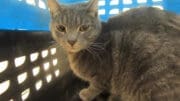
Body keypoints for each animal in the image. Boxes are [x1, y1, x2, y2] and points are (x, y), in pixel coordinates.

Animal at [46, 0, 180, 100]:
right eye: (61, 28)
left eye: (84, 28)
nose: (71, 41)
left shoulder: (103, 74)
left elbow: (95, 86)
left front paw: (86, 94)